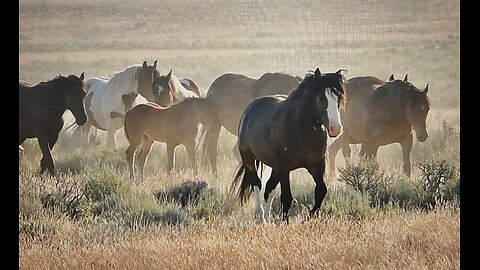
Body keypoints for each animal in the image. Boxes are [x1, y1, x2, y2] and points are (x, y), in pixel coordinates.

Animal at [232, 69, 346, 224]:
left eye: (339, 98)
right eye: (321, 98)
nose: (336, 128)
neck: (301, 129)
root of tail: (249, 110)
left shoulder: (316, 165)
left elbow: (321, 191)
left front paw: (307, 219)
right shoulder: (284, 167)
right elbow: (286, 197)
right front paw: (285, 222)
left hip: (275, 167)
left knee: (269, 189)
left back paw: (268, 220)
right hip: (249, 159)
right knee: (257, 183)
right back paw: (261, 216)